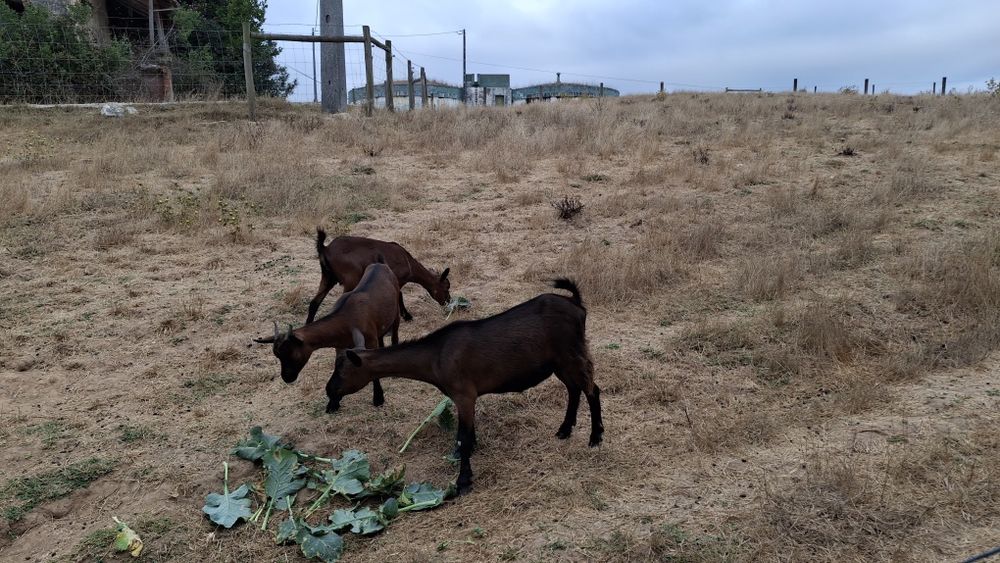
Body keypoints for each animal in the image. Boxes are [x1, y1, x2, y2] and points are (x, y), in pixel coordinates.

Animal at [255, 261, 400, 407]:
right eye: (277, 356)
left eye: (292, 354)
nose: (287, 378)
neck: (346, 320)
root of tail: (379, 264)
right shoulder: (341, 347)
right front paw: (333, 403)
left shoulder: (369, 342)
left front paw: (378, 398)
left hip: (396, 311)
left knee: (395, 333)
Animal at [307, 229, 451, 324]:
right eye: (446, 288)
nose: (448, 301)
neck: (407, 261)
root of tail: (325, 249)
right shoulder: (398, 279)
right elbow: (399, 296)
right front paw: (407, 316)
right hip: (350, 279)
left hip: (328, 277)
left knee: (314, 302)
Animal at [326, 279, 602, 495]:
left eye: (342, 370)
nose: (329, 390)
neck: (435, 356)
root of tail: (576, 304)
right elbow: (466, 437)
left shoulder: (464, 395)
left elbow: (463, 439)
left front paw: (463, 482)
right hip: (559, 362)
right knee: (574, 389)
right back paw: (564, 430)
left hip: (572, 353)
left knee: (591, 389)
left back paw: (595, 437)